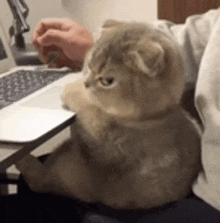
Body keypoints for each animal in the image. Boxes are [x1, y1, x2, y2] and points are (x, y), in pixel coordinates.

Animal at [15, 19, 201, 209]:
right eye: (90, 65)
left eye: (107, 81)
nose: (86, 82)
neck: (151, 117)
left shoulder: (100, 133)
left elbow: (87, 105)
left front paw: (73, 89)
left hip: (72, 177)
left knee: (40, 180)